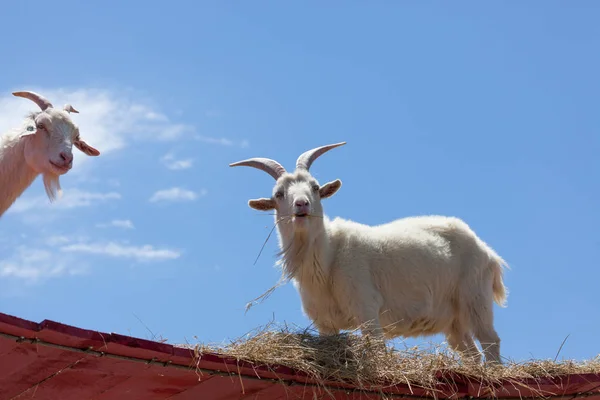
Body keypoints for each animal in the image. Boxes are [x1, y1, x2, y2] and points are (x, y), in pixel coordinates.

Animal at [232, 142, 508, 364]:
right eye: (278, 194)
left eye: (315, 187)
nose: (302, 204)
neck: (328, 257)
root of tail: (489, 253)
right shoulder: (325, 323)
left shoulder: (367, 309)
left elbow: (376, 350)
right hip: (454, 319)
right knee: (470, 352)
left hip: (475, 296)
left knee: (490, 341)